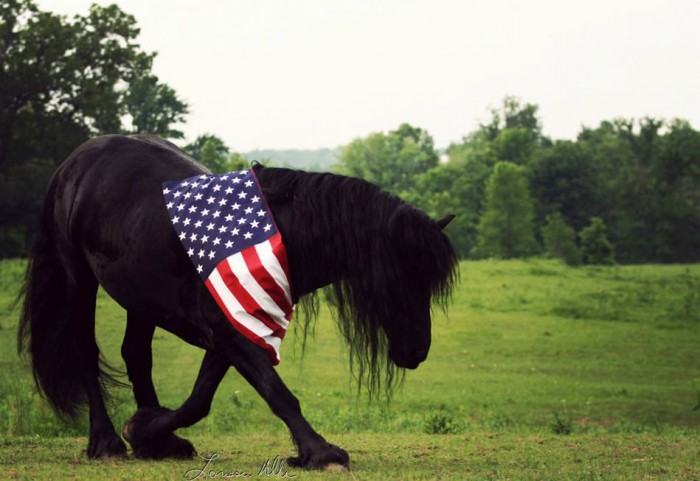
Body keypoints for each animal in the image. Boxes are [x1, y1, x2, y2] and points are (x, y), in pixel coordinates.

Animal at [16, 135, 456, 468]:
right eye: (402, 276)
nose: (417, 350)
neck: (281, 234)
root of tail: (76, 161)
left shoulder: (234, 329)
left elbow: (199, 401)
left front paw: (146, 431)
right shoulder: (231, 333)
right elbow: (277, 394)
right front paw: (319, 451)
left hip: (140, 297)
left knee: (136, 354)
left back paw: (156, 441)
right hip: (78, 279)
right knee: (86, 353)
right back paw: (105, 442)